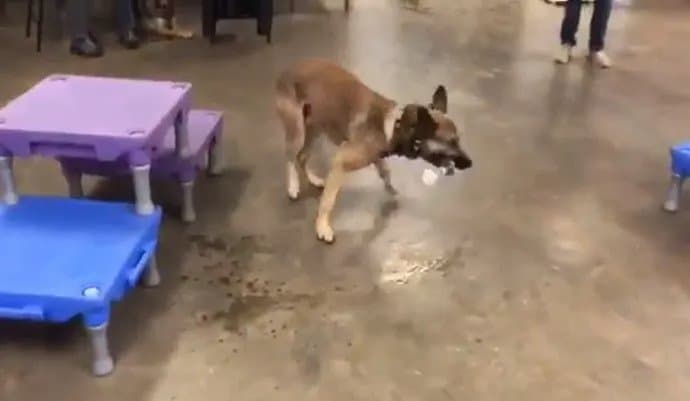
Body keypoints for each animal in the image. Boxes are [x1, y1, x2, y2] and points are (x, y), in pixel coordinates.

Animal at [274, 58, 472, 241]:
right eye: (452, 142)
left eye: (458, 141)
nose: (470, 163)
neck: (396, 126)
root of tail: (287, 70)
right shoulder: (341, 163)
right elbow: (328, 201)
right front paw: (322, 227)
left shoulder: (376, 156)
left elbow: (385, 172)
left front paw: (391, 190)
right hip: (298, 131)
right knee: (290, 156)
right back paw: (293, 186)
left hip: (315, 129)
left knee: (302, 156)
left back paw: (313, 179)